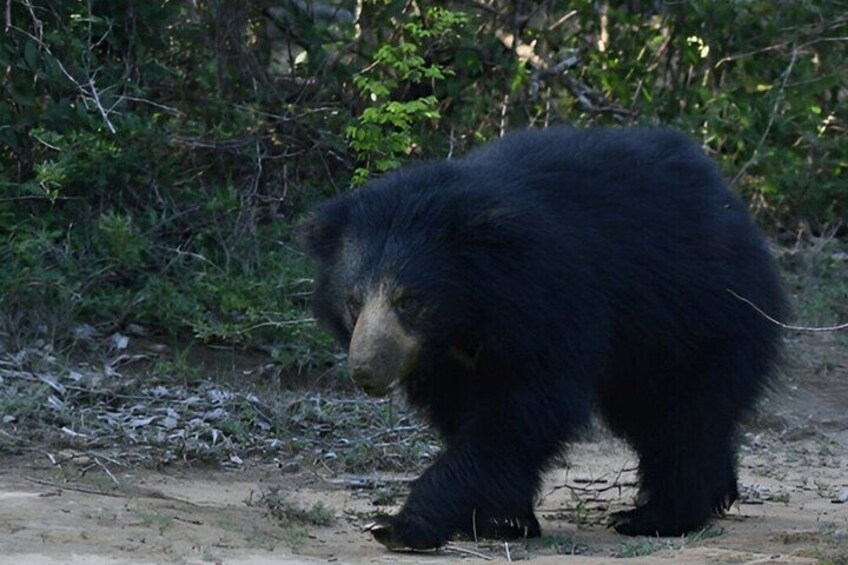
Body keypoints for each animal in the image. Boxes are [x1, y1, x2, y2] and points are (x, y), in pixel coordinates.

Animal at [298, 127, 787, 550]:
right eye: (353, 300)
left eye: (409, 301)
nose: (366, 370)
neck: (467, 314)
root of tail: (735, 210)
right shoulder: (447, 361)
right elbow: (465, 416)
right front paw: (502, 519)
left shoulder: (549, 302)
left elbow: (520, 413)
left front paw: (399, 526)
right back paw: (714, 494)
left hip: (700, 318)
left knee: (683, 415)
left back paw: (659, 517)